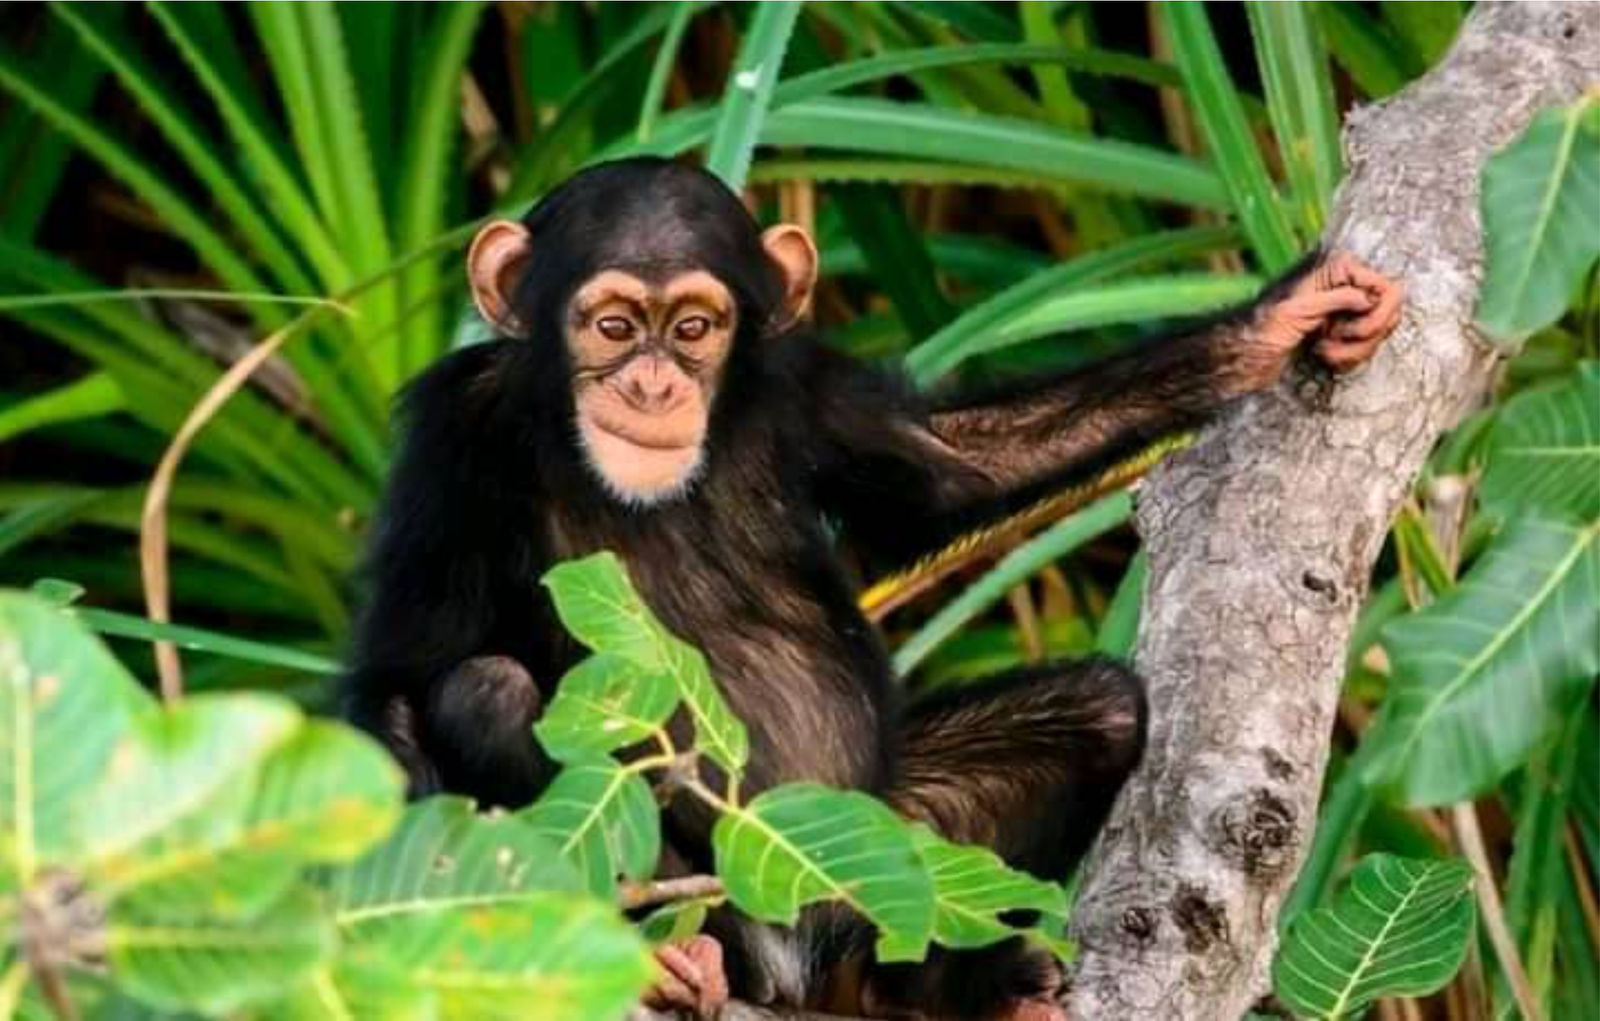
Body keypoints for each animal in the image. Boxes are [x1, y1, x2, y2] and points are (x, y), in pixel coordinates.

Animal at [340, 157, 1403, 1020]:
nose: (651, 383)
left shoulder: (809, 385)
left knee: (1096, 712)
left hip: (884, 854)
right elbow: (398, 674)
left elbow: (955, 471)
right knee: (485, 692)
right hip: (735, 894)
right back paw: (681, 963)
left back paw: (935, 987)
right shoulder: (452, 439)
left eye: (694, 327)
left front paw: (1274, 323)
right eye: (610, 325)